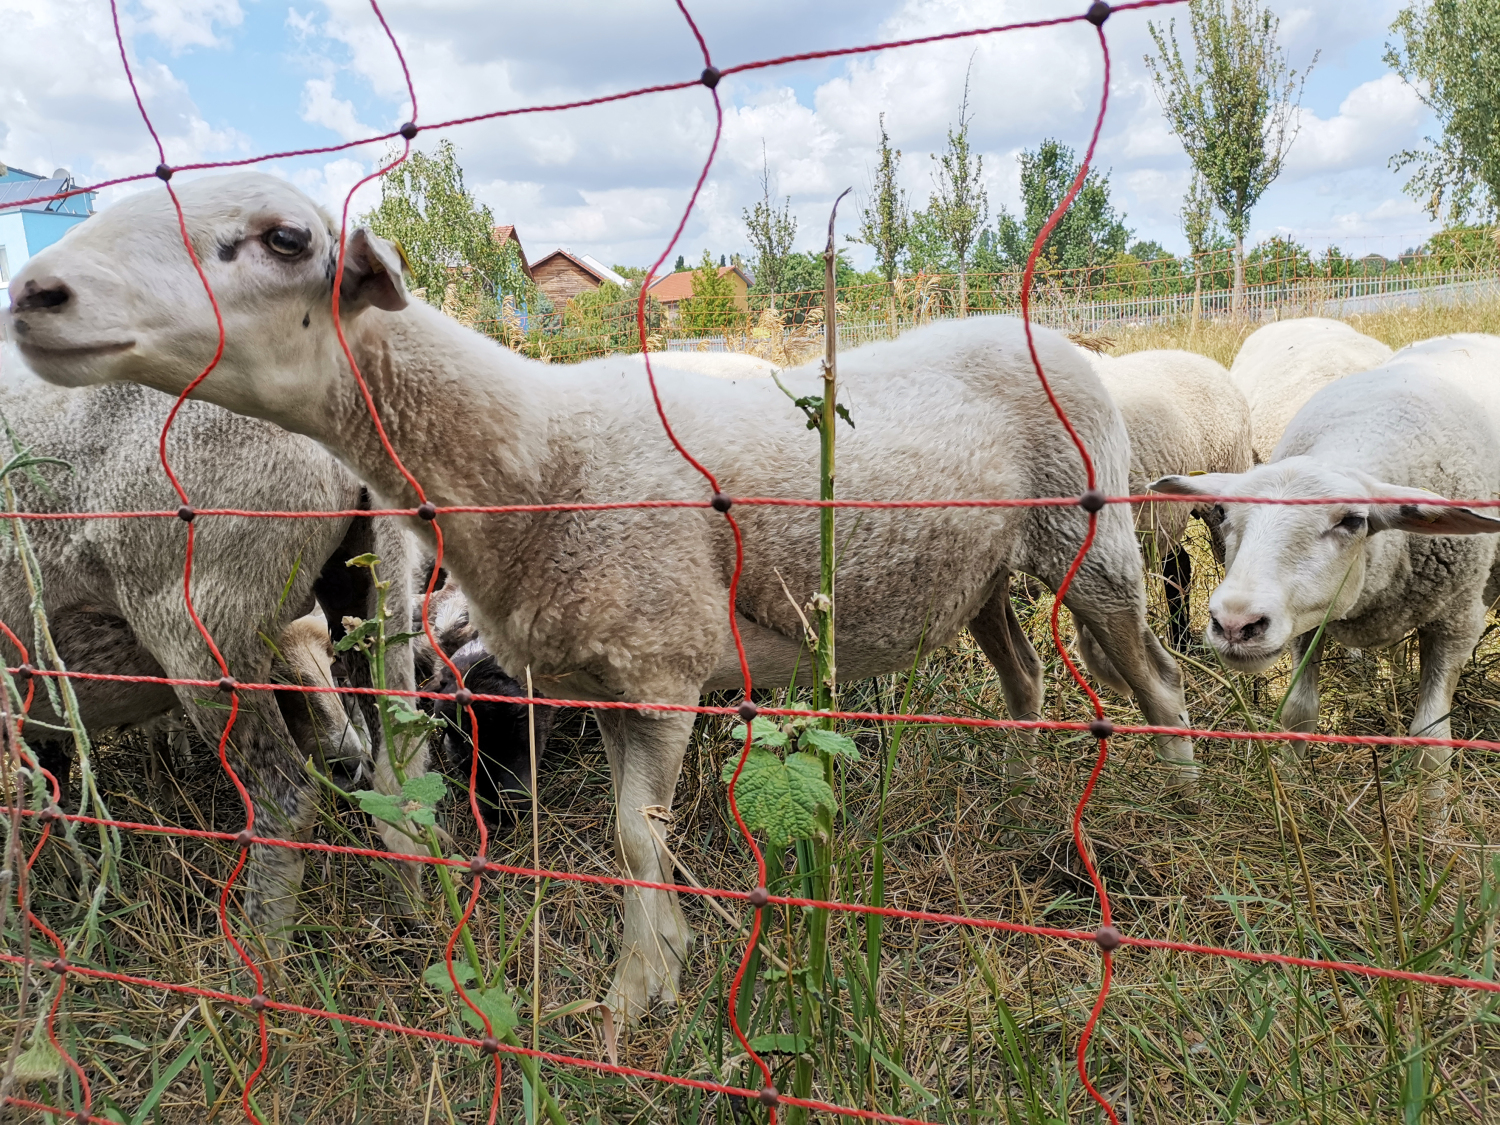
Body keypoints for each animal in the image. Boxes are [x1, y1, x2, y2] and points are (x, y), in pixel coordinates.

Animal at [0, 351, 429, 936]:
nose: (346, 759)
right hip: (366, 591)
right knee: (399, 772)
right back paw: (412, 917)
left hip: (205, 629)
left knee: (286, 801)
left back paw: (255, 950)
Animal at [1152, 334, 1500, 810]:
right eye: (1223, 512)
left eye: (1352, 521)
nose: (1235, 625)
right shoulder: (1305, 622)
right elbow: (1298, 713)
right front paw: (1290, 787)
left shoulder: (1457, 623)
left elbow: (1431, 745)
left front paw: (1432, 816)